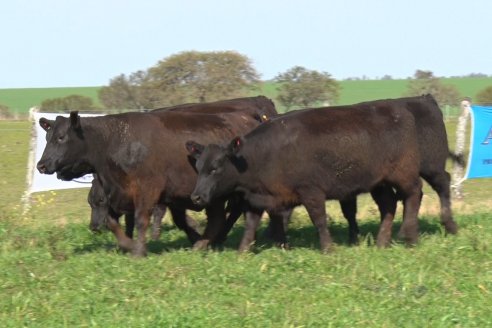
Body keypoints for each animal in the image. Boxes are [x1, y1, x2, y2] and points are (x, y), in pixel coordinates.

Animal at [37, 108, 276, 256]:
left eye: (61, 137)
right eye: (47, 137)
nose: (41, 165)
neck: (116, 141)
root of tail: (251, 117)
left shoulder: (147, 191)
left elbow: (142, 220)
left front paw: (138, 250)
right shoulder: (121, 194)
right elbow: (113, 222)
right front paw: (128, 244)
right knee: (218, 218)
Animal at [188, 102, 422, 251]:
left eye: (216, 167)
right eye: (198, 167)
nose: (196, 197)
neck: (266, 153)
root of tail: (399, 110)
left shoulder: (311, 191)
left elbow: (319, 220)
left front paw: (328, 248)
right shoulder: (257, 197)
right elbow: (250, 226)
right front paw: (243, 251)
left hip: (404, 174)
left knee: (414, 195)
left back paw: (410, 236)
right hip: (379, 183)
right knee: (389, 205)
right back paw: (382, 242)